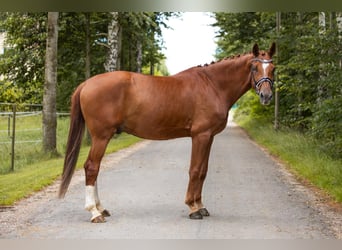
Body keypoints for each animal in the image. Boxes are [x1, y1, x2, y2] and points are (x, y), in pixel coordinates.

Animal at [58, 43, 276, 223]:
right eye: (254, 68)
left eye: (273, 68)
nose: (266, 96)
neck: (212, 85)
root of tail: (87, 84)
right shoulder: (200, 136)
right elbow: (194, 170)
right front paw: (193, 208)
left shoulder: (210, 137)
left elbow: (203, 171)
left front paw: (201, 206)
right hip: (101, 137)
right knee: (91, 167)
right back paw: (94, 212)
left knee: (95, 169)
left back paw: (101, 208)